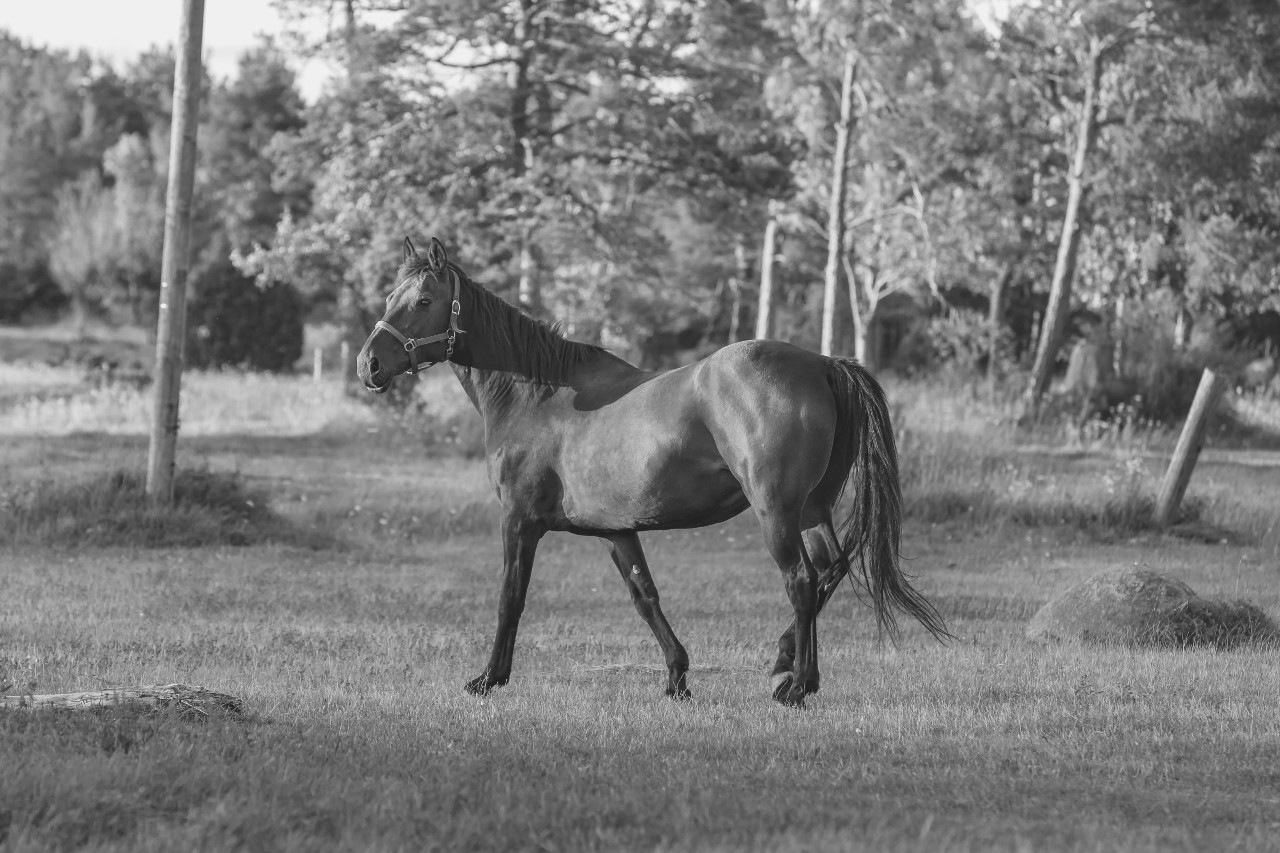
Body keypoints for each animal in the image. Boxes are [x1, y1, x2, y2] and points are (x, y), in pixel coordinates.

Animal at [356, 237, 949, 706]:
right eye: (390, 298)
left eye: (424, 301)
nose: (370, 364)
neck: (539, 394)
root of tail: (822, 364)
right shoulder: (617, 530)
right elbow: (645, 596)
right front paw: (676, 677)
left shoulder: (519, 521)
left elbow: (511, 596)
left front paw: (489, 678)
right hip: (812, 509)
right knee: (830, 569)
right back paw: (787, 666)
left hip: (777, 512)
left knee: (802, 581)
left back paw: (798, 686)